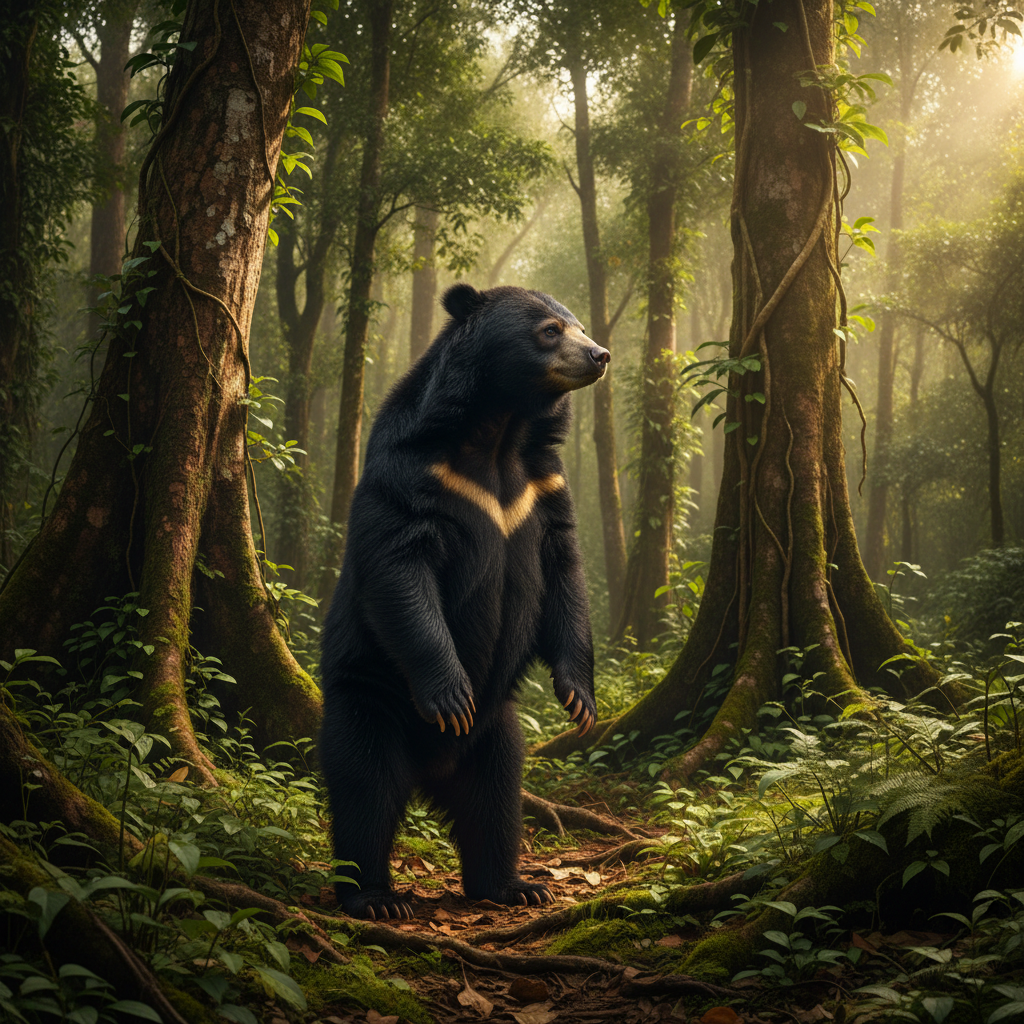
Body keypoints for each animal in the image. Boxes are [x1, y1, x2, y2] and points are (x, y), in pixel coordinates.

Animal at [319, 283, 608, 920]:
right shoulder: (413, 474)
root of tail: (434, 769)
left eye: (579, 324)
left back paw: (513, 884)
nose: (600, 354)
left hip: (497, 729)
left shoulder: (543, 487)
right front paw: (451, 693)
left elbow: (566, 573)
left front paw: (580, 700)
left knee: (496, 802)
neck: (500, 429)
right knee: (365, 789)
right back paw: (375, 897)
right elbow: (401, 567)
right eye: (550, 330)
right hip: (370, 696)